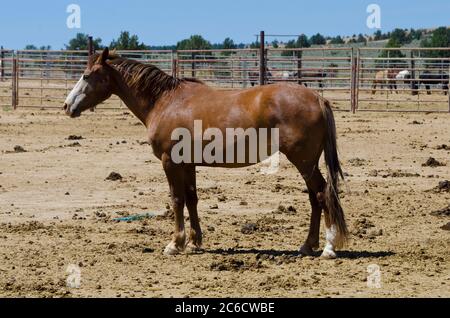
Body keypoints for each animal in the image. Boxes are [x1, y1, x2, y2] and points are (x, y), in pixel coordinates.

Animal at [63, 48, 348, 260]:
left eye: (87, 76)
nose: (67, 106)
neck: (164, 102)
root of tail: (317, 97)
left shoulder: (170, 162)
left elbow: (177, 199)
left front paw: (175, 244)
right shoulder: (187, 163)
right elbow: (192, 198)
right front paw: (193, 242)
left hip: (304, 162)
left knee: (323, 194)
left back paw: (328, 248)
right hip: (307, 164)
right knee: (315, 198)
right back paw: (307, 245)